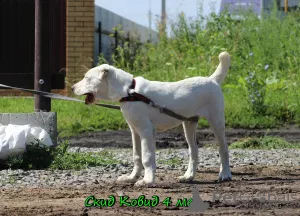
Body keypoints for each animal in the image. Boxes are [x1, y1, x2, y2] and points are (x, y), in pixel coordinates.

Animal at [72, 51, 232, 186]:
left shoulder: (146, 130)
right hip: (189, 124)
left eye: (86, 78)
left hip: (216, 122)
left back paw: (225, 174)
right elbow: (137, 156)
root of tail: (212, 80)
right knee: (194, 151)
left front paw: (147, 180)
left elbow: (147, 157)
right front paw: (132, 177)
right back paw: (188, 176)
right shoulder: (134, 131)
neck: (129, 91)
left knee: (223, 148)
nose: (72, 88)